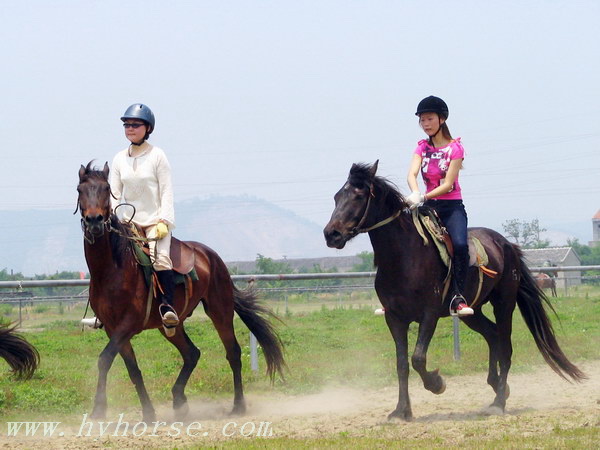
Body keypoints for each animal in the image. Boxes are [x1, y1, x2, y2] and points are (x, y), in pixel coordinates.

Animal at [75, 163, 286, 422]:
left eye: (106, 189)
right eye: (80, 189)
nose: (94, 221)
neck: (112, 269)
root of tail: (210, 256)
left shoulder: (128, 325)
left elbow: (104, 359)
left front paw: (98, 409)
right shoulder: (113, 329)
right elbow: (132, 369)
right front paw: (147, 413)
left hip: (220, 311)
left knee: (233, 353)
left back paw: (237, 406)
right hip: (170, 326)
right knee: (192, 353)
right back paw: (179, 401)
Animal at [326, 163, 584, 422]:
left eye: (358, 196)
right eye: (337, 197)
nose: (331, 234)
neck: (404, 257)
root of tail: (506, 244)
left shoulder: (429, 314)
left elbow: (418, 358)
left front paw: (437, 383)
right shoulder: (394, 318)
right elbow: (402, 364)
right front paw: (401, 411)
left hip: (504, 304)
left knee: (505, 347)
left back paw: (498, 402)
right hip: (472, 311)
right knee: (492, 335)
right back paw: (497, 385)